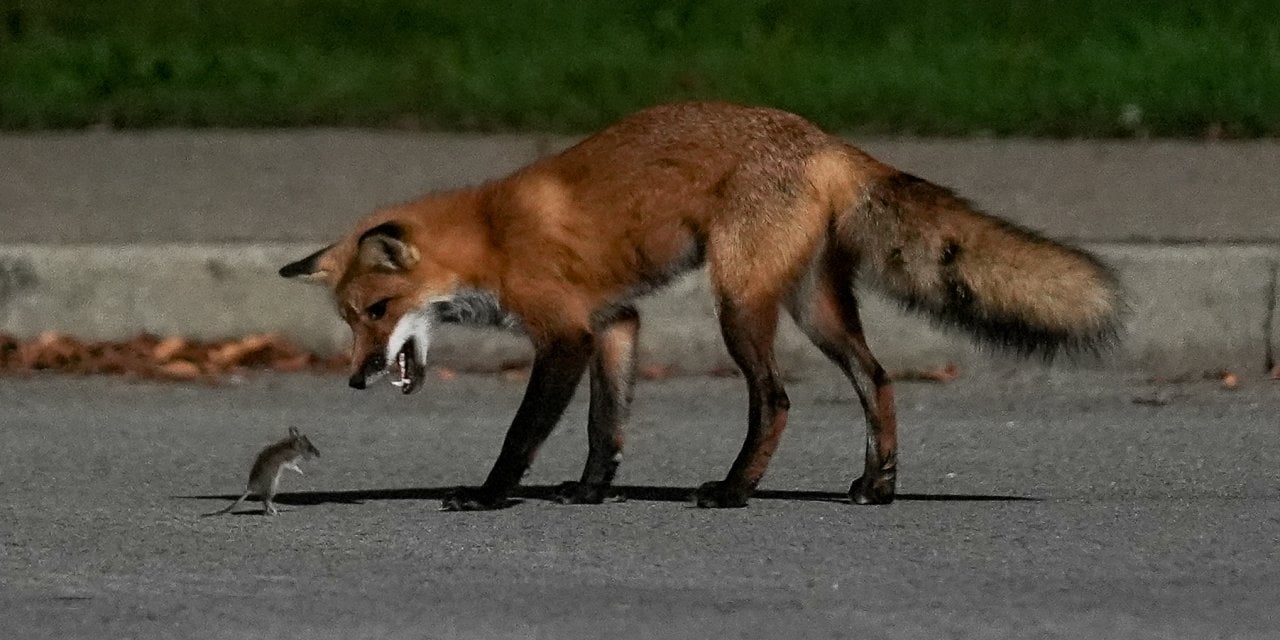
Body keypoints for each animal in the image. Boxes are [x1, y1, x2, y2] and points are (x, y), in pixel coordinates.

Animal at [280, 101, 1121, 509]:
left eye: (378, 310)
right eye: (350, 319)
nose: (355, 378)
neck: (489, 235)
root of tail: (823, 139)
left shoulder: (564, 335)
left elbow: (523, 436)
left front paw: (489, 498)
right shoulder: (615, 322)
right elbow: (606, 427)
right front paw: (589, 493)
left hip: (739, 305)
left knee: (776, 400)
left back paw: (734, 491)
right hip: (815, 308)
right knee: (878, 380)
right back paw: (877, 487)